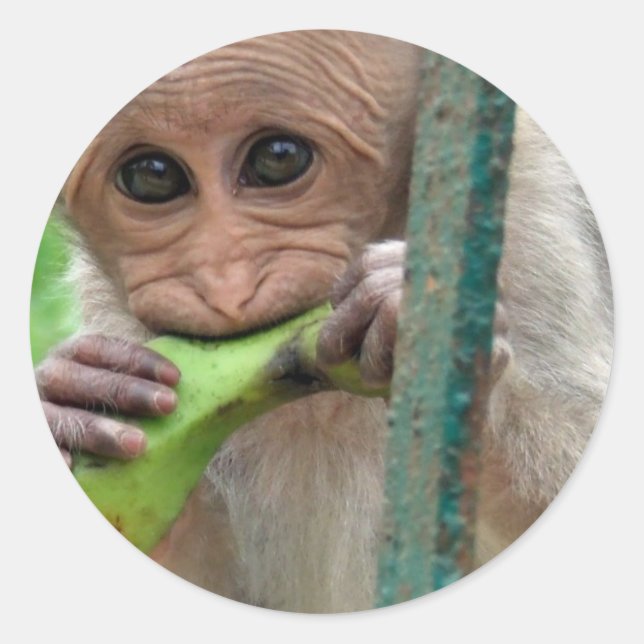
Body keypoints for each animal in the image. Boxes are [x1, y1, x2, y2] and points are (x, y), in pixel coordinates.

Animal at [34, 30, 613, 613]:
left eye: (277, 158)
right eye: (153, 176)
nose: (228, 288)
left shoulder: (532, 224)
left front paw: (405, 312)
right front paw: (77, 396)